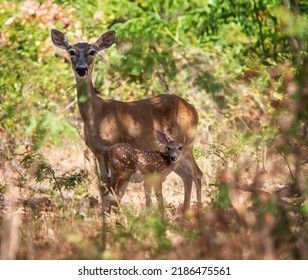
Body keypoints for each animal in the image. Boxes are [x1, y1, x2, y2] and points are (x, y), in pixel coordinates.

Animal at [51, 29, 202, 212]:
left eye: (92, 52)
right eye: (71, 52)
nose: (81, 69)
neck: (96, 115)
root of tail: (193, 109)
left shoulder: (112, 147)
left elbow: (113, 191)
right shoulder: (98, 153)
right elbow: (104, 187)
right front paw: (105, 214)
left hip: (186, 144)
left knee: (197, 173)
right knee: (187, 176)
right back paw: (185, 212)